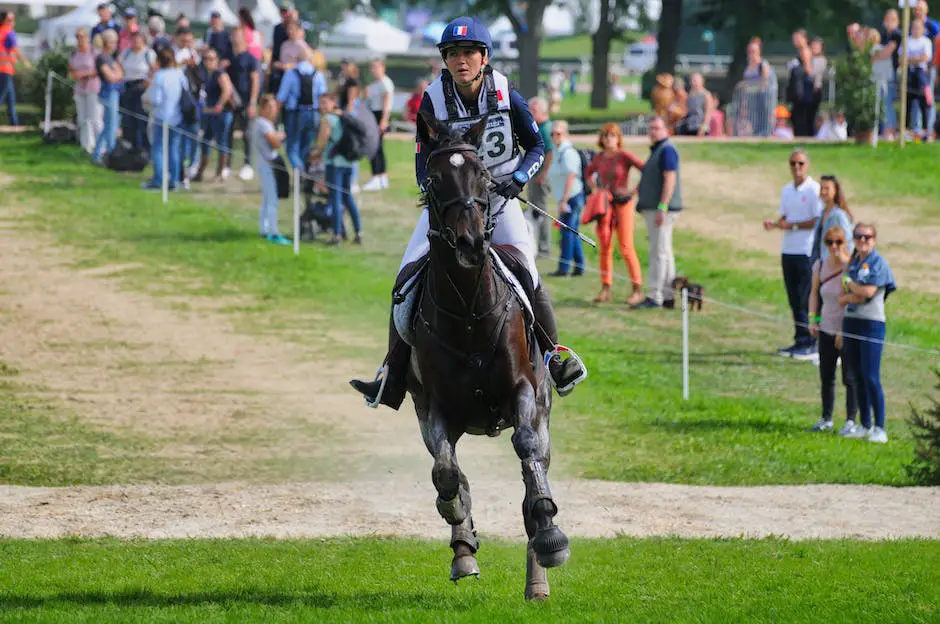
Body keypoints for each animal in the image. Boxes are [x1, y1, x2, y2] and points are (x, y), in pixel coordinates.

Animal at [404, 111, 564, 600]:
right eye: (435, 180)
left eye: (482, 176)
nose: (471, 243)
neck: (469, 311)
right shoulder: (432, 409)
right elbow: (447, 475)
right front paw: (461, 534)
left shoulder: (523, 392)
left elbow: (527, 455)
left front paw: (551, 532)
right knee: (456, 473)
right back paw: (464, 550)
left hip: (543, 408)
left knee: (534, 471)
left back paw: (539, 575)